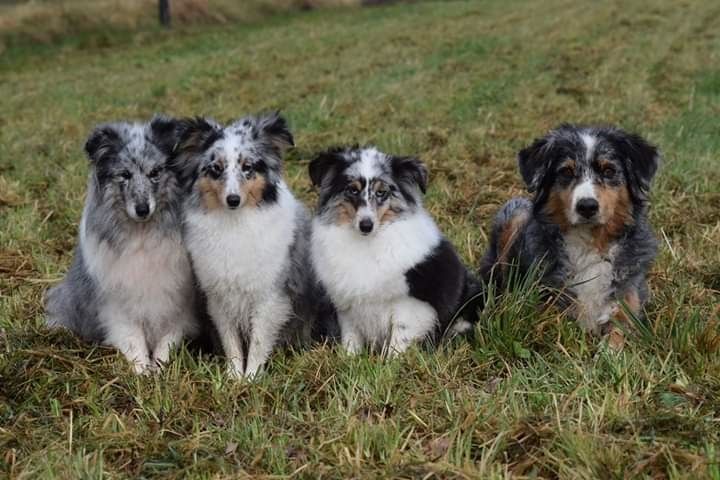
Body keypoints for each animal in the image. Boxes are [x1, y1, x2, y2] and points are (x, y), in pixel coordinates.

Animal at [46, 117, 198, 376]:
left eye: (155, 173)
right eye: (124, 175)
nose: (142, 209)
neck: (143, 236)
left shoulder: (177, 304)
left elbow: (167, 340)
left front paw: (159, 368)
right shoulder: (119, 304)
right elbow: (133, 340)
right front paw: (142, 372)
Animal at [173, 112, 320, 378]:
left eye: (247, 167)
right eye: (216, 168)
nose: (233, 199)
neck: (235, 223)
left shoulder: (269, 297)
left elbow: (258, 342)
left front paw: (251, 377)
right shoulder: (219, 297)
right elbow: (231, 341)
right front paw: (234, 377)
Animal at [306, 146, 478, 356]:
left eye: (382, 192)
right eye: (353, 190)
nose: (366, 226)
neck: (368, 242)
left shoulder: (410, 306)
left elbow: (399, 340)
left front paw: (392, 362)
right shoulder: (347, 307)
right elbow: (351, 338)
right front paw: (349, 359)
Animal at [480, 124, 660, 344]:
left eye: (609, 171)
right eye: (566, 171)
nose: (587, 206)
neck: (590, 243)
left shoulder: (628, 307)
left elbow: (617, 336)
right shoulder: (543, 305)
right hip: (516, 213)